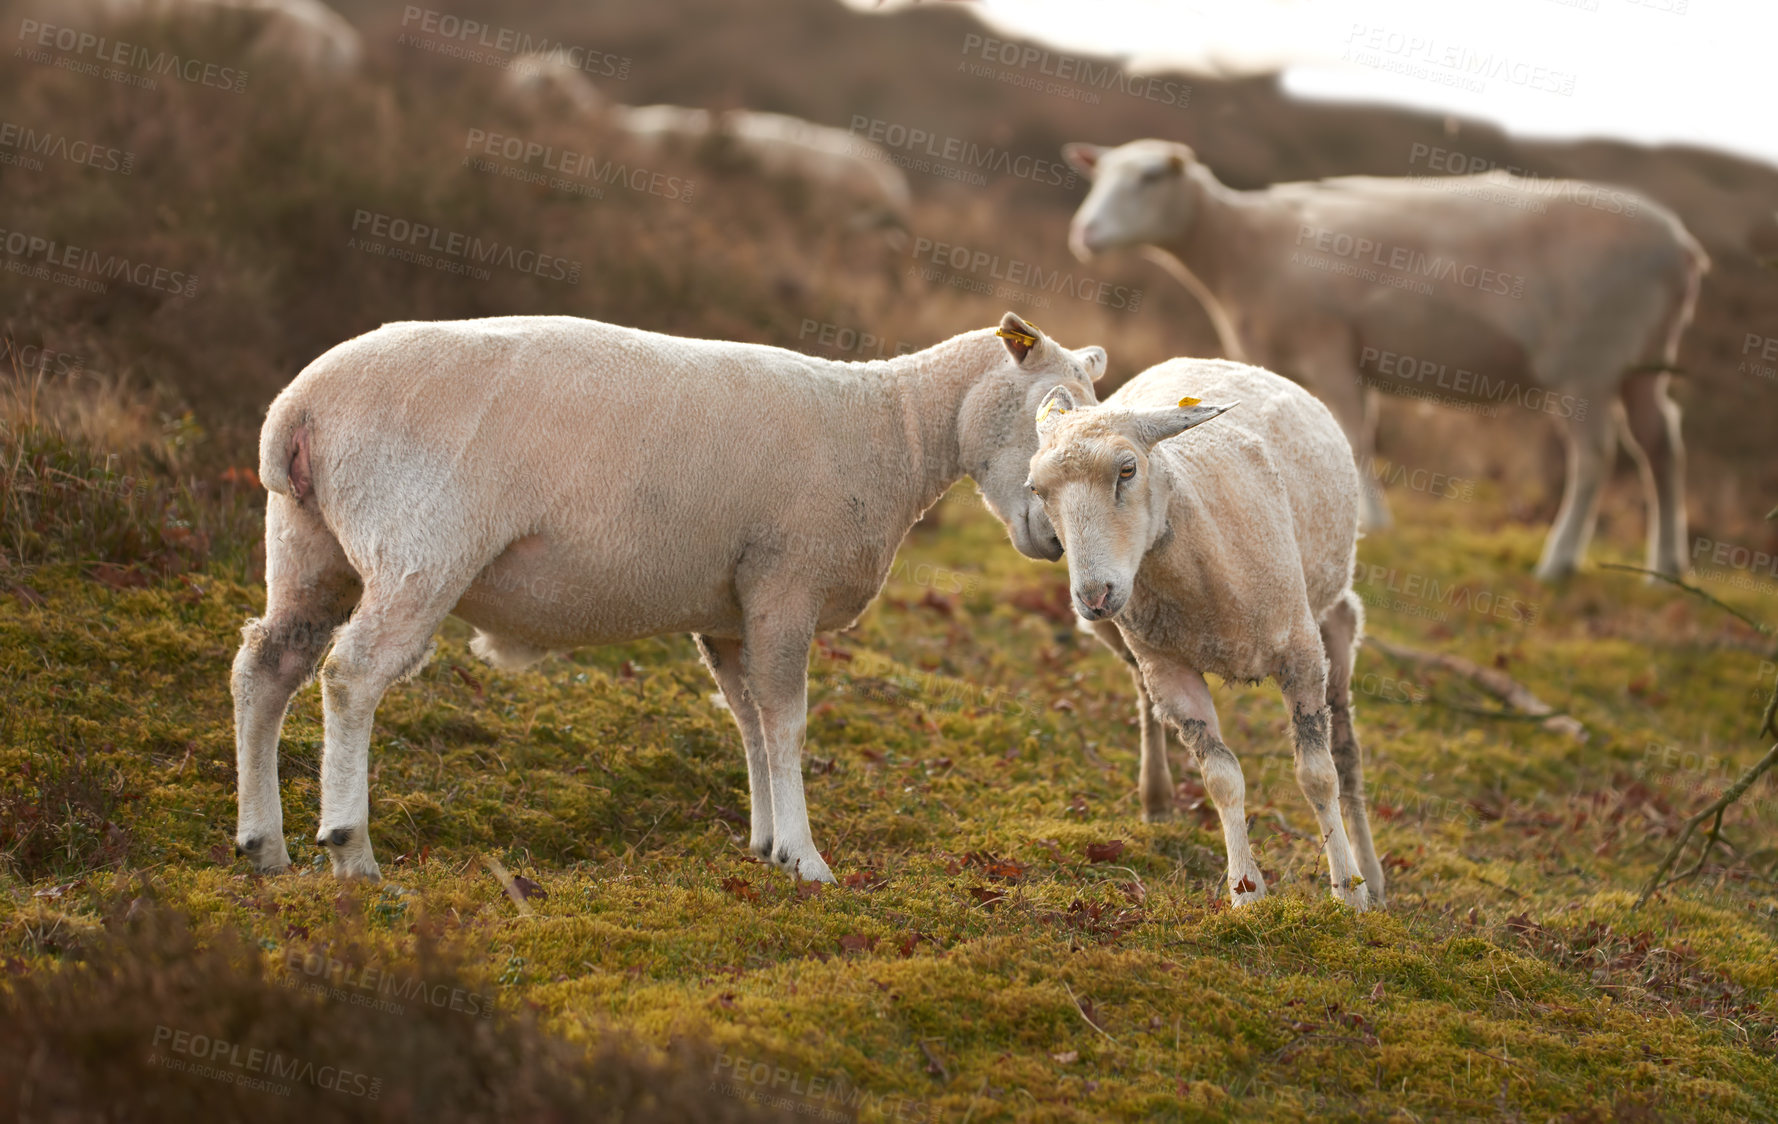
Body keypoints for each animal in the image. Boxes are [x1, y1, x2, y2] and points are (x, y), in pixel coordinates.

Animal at [229, 311, 1102, 882]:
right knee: (353, 675)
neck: (895, 429)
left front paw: (767, 845)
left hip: (309, 546)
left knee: (267, 668)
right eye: (1052, 406)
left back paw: (262, 844)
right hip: (420, 547)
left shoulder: (730, 610)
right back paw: (350, 846)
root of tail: (296, 410)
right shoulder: (785, 583)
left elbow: (749, 723)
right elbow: (786, 723)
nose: (1057, 543)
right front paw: (807, 859)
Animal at [1031, 355, 1386, 910]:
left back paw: (1371, 874)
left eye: (1127, 469)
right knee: (1145, 701)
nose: (1092, 596)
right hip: (1129, 641)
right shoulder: (1169, 670)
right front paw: (1247, 894)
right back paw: (1155, 796)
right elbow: (1222, 780)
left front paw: (1347, 892)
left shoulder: (1301, 653)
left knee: (1347, 753)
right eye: (1036, 490)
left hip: (1332, 615)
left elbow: (1317, 775)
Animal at [1059, 139, 1699, 579]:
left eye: (1148, 177)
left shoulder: (1329, 346)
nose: (1084, 233)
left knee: (1596, 457)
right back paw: (1666, 566)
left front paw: (1373, 522)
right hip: (1645, 361)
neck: (1243, 243)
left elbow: (1353, 431)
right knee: (1661, 445)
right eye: (1098, 176)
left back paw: (1558, 560)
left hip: (1587, 363)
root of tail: (1683, 250)